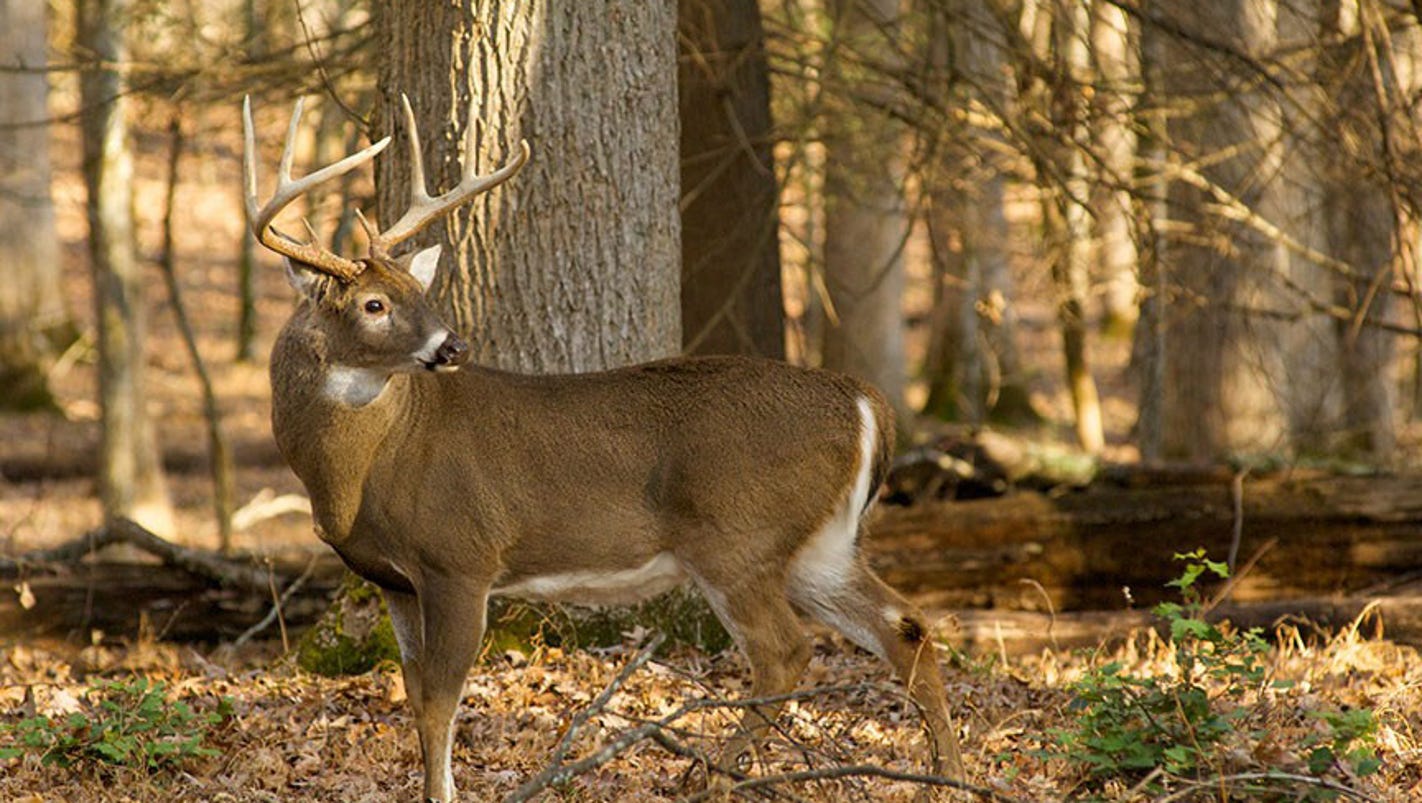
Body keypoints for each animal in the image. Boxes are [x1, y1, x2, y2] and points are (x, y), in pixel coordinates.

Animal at [244, 92, 966, 795]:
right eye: (374, 304)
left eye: (419, 290)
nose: (452, 346)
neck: (360, 471)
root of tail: (865, 401)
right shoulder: (393, 579)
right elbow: (415, 694)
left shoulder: (461, 557)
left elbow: (440, 704)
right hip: (821, 544)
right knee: (906, 624)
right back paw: (947, 776)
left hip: (740, 537)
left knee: (785, 651)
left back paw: (714, 773)